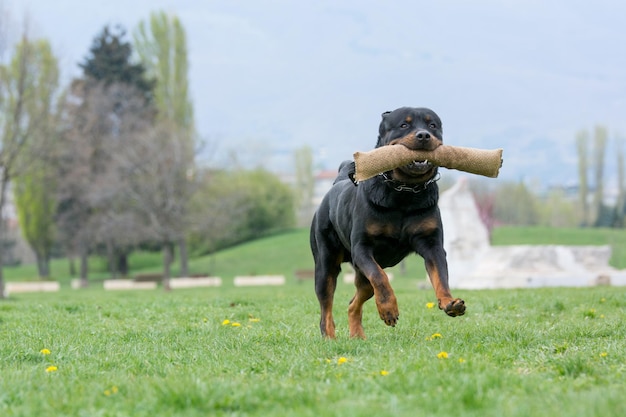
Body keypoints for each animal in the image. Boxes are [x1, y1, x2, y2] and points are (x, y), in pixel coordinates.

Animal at [310, 106, 464, 338]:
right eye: (404, 125)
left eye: (432, 125)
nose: (423, 135)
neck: (404, 193)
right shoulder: (362, 249)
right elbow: (381, 278)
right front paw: (388, 309)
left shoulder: (432, 244)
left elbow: (440, 274)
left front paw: (449, 301)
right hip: (326, 262)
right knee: (326, 306)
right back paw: (329, 337)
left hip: (360, 274)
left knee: (354, 301)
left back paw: (357, 335)